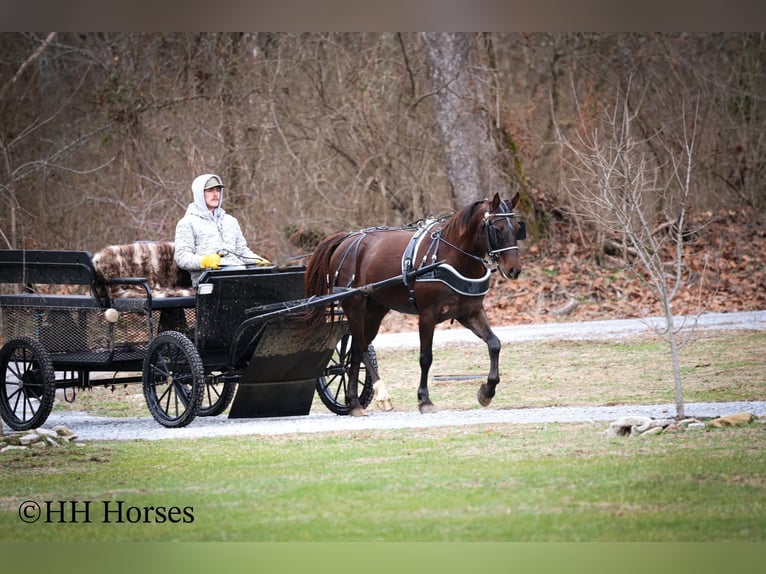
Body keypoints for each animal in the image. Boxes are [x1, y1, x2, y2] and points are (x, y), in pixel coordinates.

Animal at [302, 191, 525, 416]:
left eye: (517, 227)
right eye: (496, 229)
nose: (514, 270)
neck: (449, 257)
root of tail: (345, 240)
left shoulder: (470, 313)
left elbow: (494, 344)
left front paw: (487, 391)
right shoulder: (427, 316)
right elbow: (426, 357)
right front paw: (424, 400)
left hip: (374, 310)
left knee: (356, 351)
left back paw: (354, 402)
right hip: (354, 306)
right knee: (361, 348)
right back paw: (376, 397)